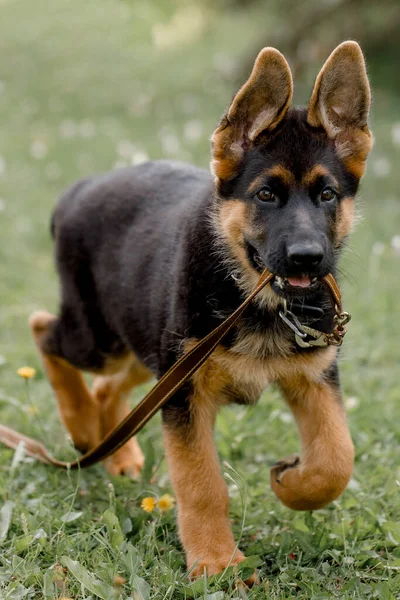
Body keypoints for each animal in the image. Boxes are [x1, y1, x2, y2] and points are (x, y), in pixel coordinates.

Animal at [30, 43, 372, 580]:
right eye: (266, 194)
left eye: (327, 194)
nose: (307, 258)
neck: (251, 295)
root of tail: (79, 189)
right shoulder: (185, 393)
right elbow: (202, 483)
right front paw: (215, 561)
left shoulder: (314, 376)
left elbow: (338, 458)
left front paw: (292, 484)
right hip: (106, 338)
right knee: (45, 330)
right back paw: (83, 427)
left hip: (148, 346)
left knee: (107, 385)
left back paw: (118, 454)